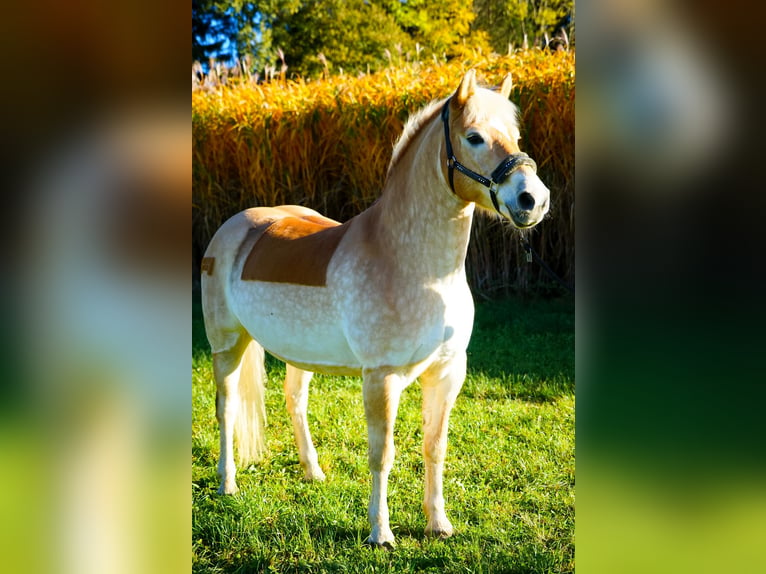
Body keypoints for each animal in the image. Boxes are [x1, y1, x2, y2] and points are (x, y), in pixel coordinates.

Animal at [202, 70, 552, 552]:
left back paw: (313, 472)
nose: (533, 200)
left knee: (295, 403)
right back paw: (227, 483)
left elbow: (434, 447)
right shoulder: (381, 378)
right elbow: (381, 454)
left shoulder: (447, 374)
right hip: (227, 346)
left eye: (516, 136)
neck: (413, 265)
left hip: (299, 356)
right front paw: (380, 533)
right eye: (474, 137)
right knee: (227, 409)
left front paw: (438, 524)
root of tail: (236, 225)